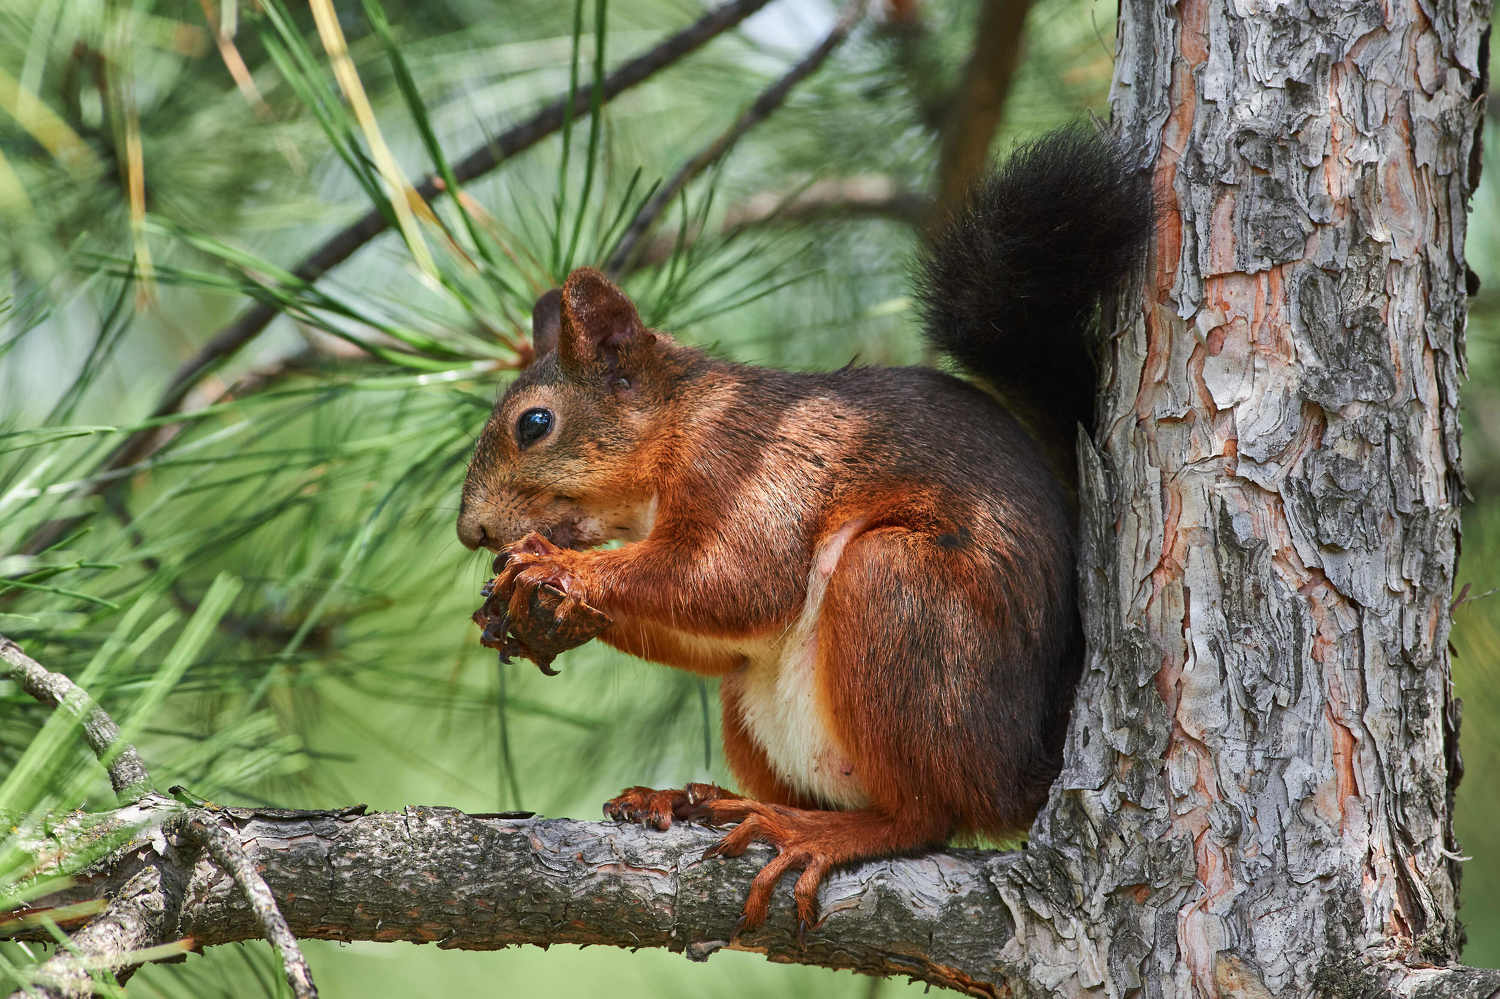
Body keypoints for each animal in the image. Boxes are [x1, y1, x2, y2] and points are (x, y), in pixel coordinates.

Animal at [457, 124, 1153, 932]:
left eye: (534, 424)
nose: (471, 531)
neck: (681, 427)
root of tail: (1023, 766)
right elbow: (714, 627)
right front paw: (541, 617)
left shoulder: (752, 469)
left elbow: (737, 579)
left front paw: (552, 568)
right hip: (760, 699)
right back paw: (693, 800)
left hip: (901, 595)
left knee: (925, 816)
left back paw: (817, 832)